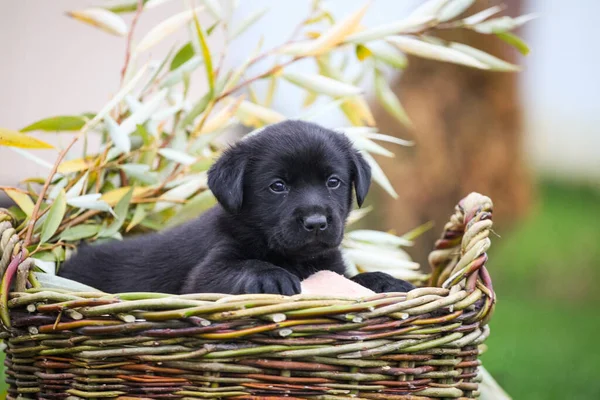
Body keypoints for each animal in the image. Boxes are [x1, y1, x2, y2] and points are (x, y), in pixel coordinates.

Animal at [61, 120, 414, 296]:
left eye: (333, 182)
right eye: (278, 186)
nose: (316, 222)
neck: (295, 259)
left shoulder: (332, 267)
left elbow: (354, 279)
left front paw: (384, 280)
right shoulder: (204, 274)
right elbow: (245, 266)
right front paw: (273, 276)